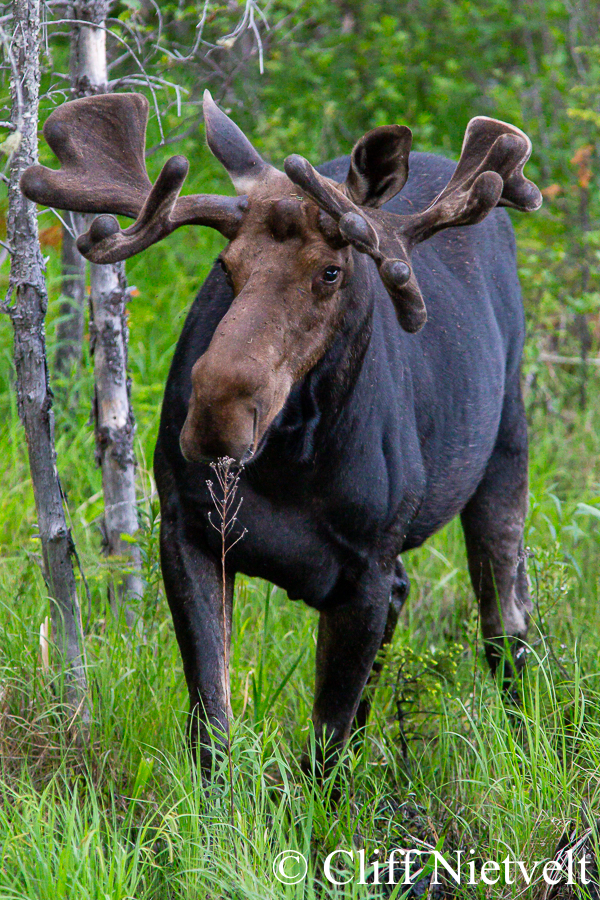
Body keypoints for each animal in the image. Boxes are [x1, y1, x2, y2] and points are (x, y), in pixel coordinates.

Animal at [21, 95, 540, 776]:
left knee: (507, 627)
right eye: (226, 265)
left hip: (505, 453)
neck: (293, 464)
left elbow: (327, 742)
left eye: (331, 272)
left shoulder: (367, 569)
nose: (215, 414)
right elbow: (213, 726)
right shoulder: (187, 533)